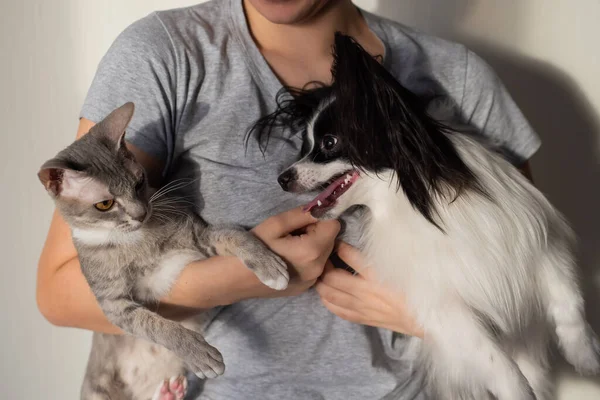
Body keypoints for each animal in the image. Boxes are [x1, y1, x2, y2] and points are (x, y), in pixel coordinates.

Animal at [38, 104, 290, 400]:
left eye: (139, 182)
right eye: (104, 204)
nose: (141, 213)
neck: (138, 240)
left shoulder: (200, 236)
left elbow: (235, 235)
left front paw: (268, 264)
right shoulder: (113, 304)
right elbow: (154, 325)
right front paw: (196, 351)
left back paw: (171, 391)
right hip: (96, 388)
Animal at [252, 32, 600, 398]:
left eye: (329, 143)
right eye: (305, 146)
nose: (282, 178)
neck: (416, 202)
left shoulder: (539, 245)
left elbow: (568, 300)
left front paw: (586, 356)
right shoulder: (444, 307)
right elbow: (498, 362)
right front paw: (519, 392)